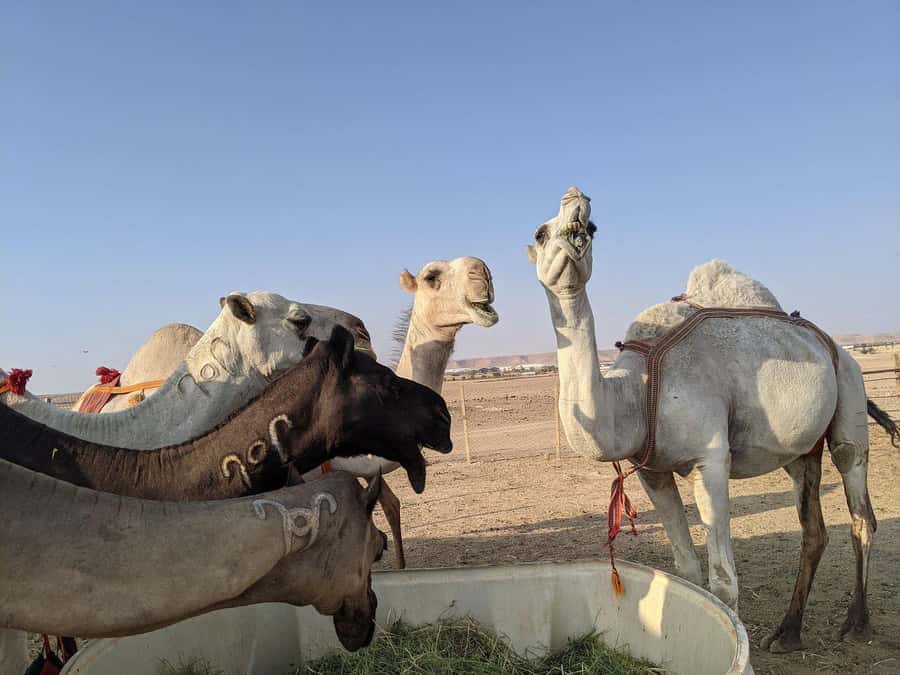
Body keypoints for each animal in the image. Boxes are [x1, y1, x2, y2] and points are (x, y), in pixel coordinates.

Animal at [526, 187, 897, 653]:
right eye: (540, 233)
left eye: (592, 227)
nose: (575, 203)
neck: (633, 394)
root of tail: (839, 349)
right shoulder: (652, 471)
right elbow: (686, 569)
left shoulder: (711, 460)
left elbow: (722, 580)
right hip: (801, 450)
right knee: (813, 528)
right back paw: (788, 632)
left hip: (849, 393)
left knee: (859, 507)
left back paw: (857, 623)